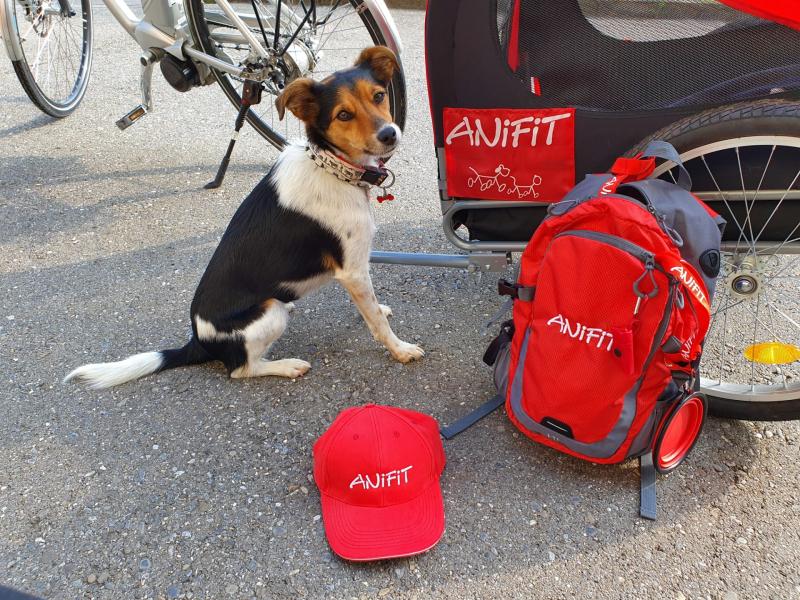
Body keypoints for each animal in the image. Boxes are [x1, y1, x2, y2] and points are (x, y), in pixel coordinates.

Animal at [65, 46, 423, 389]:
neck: (332, 166)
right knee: (240, 370)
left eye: (379, 96)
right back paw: (287, 366)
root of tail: (198, 340)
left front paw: (381, 312)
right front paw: (400, 349)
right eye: (343, 114)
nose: (390, 134)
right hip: (268, 313)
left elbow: (372, 309)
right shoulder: (352, 269)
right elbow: (377, 321)